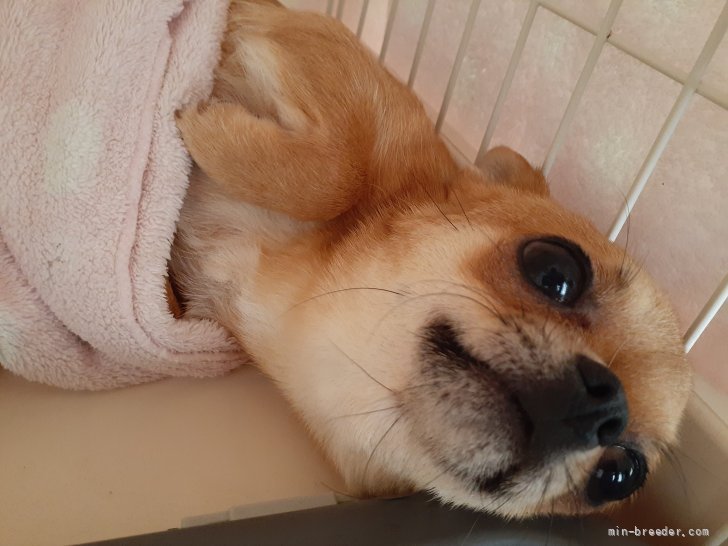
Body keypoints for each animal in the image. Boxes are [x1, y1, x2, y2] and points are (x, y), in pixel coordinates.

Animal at [170, 0, 692, 518]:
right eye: (554, 270)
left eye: (620, 474)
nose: (605, 405)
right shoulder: (324, 53)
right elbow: (338, 174)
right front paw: (200, 121)